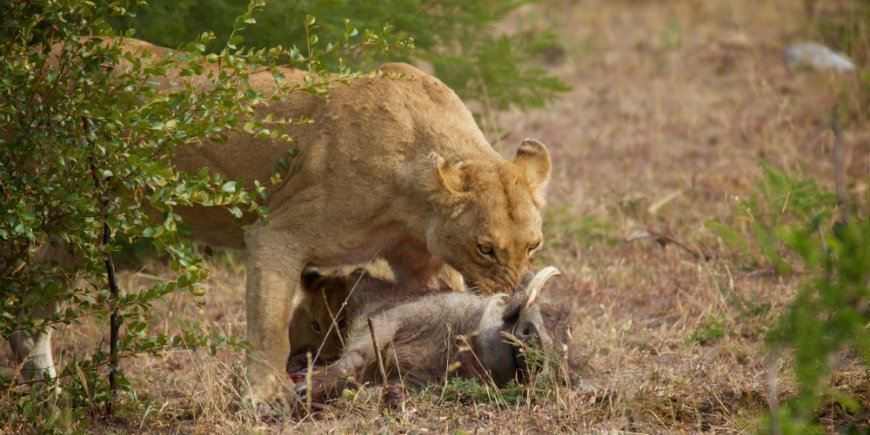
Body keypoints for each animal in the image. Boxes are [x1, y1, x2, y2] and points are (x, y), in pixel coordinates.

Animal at [9, 38, 552, 416]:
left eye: (533, 246)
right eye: (485, 248)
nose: (511, 296)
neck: (413, 197)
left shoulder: (416, 261)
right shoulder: (277, 234)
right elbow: (269, 327)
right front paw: (264, 399)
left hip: (76, 230)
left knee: (33, 301)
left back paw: (43, 390)